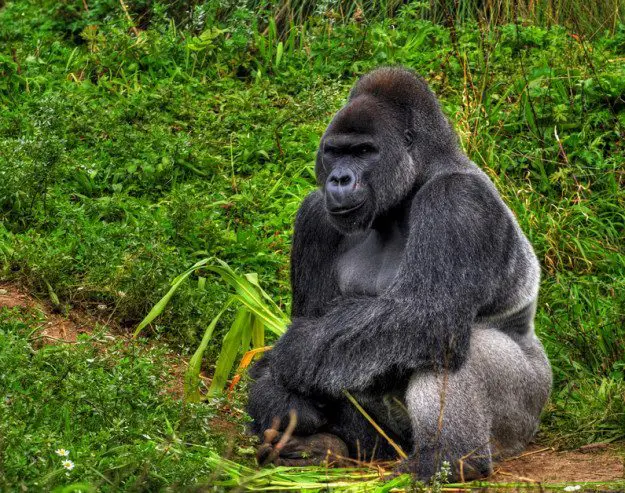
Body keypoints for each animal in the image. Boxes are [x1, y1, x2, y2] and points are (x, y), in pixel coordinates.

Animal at [245, 66, 552, 480]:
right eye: (335, 152)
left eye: (364, 151)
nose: (339, 179)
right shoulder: (315, 215)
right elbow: (319, 326)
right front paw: (274, 395)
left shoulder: (457, 200)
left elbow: (428, 313)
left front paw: (287, 354)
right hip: (388, 442)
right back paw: (324, 448)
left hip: (525, 414)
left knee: (449, 338)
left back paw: (448, 459)